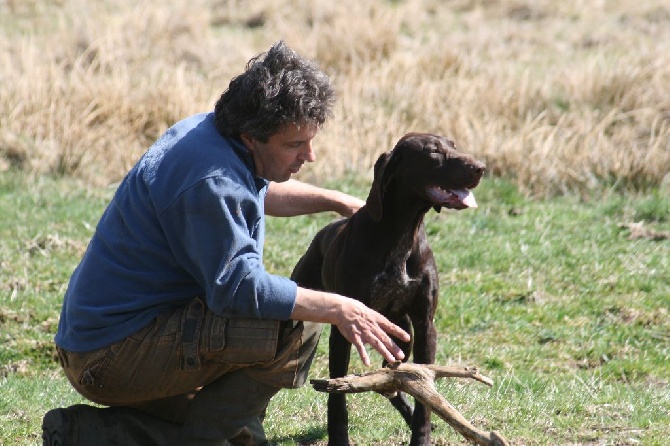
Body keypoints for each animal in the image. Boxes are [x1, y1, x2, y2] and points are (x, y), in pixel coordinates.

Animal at [292, 133, 486, 446]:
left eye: (454, 145)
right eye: (433, 151)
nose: (481, 167)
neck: (401, 232)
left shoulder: (424, 325)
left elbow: (424, 393)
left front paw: (421, 436)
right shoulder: (345, 325)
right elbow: (337, 395)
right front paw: (339, 438)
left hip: (402, 336)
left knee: (392, 378)